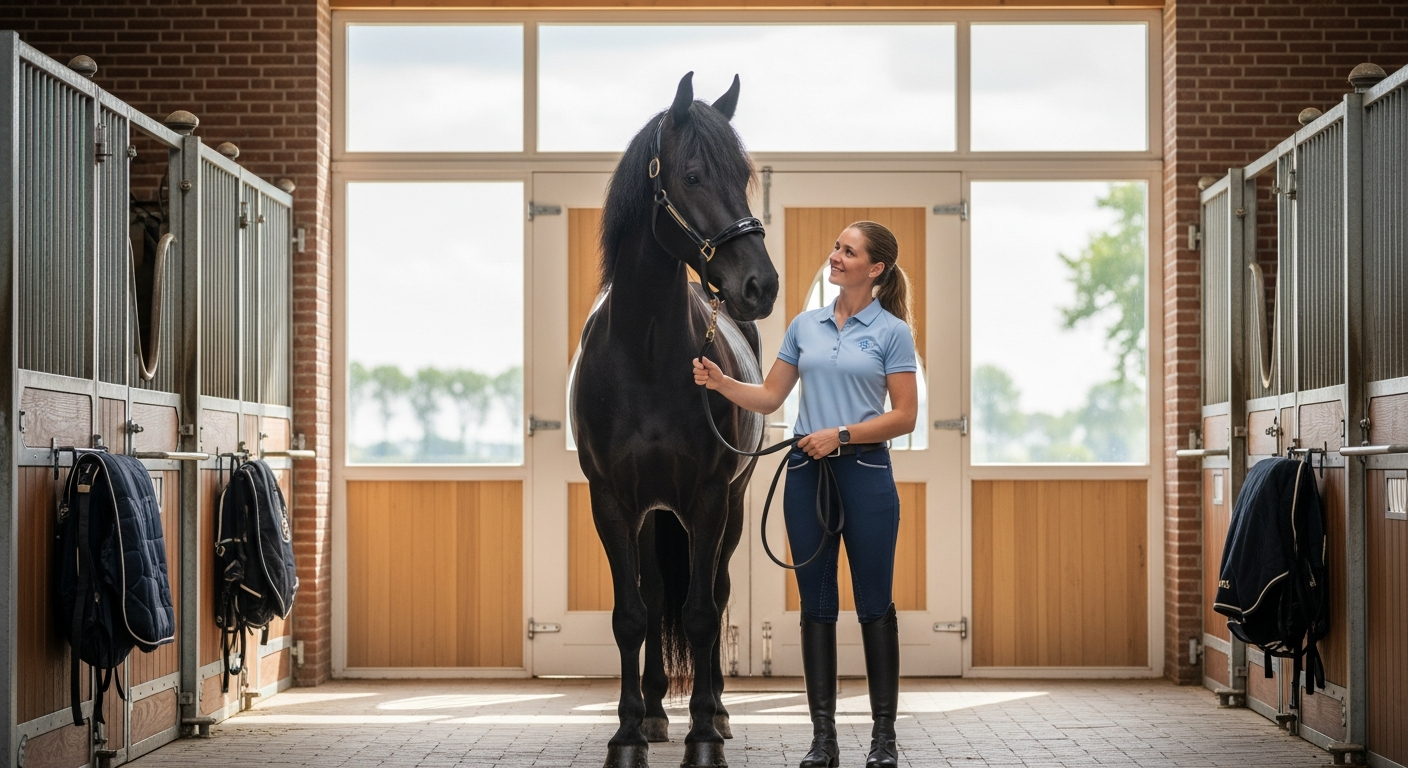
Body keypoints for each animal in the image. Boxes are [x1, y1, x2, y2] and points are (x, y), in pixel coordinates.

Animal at [570, 71, 778, 768]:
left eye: (744, 176)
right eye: (691, 176)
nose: (760, 286)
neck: (648, 353)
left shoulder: (710, 497)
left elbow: (701, 614)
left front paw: (704, 737)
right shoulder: (612, 501)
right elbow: (633, 615)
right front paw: (628, 735)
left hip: (730, 509)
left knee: (714, 594)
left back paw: (714, 711)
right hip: (652, 512)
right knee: (659, 593)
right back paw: (659, 713)